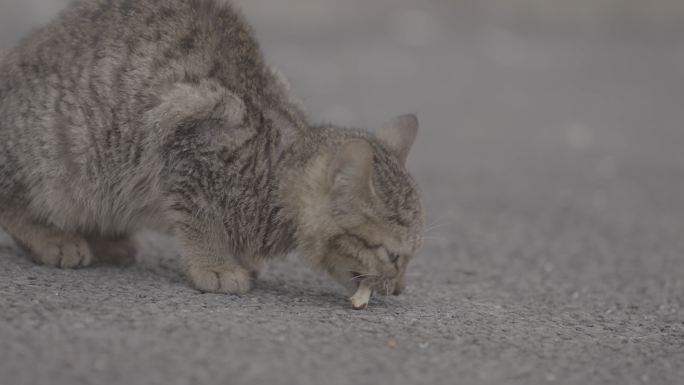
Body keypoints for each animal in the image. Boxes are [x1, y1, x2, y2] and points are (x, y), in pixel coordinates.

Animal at [0, 0, 422, 306]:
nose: (402, 288)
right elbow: (199, 220)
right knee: (12, 202)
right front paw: (215, 265)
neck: (273, 168)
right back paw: (51, 237)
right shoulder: (187, 140)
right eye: (392, 255)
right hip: (61, 152)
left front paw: (242, 258)